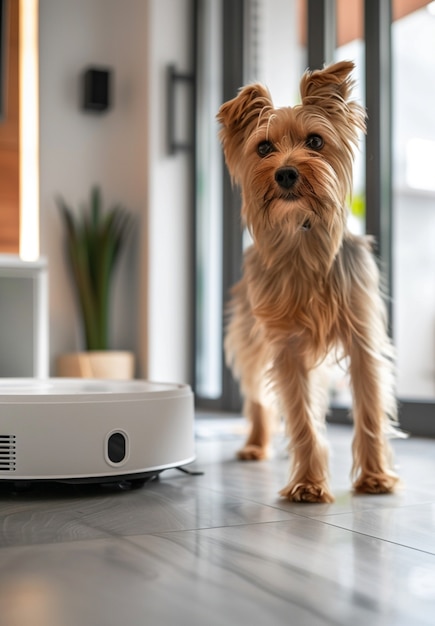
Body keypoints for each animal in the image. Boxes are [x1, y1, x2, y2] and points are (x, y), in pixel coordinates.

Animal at [218, 61, 402, 502]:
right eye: (263, 148)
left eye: (316, 141)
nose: (286, 173)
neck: (302, 236)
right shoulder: (286, 347)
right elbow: (300, 414)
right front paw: (307, 483)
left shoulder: (363, 338)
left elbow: (370, 408)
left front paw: (375, 477)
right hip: (250, 338)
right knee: (258, 398)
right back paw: (256, 444)